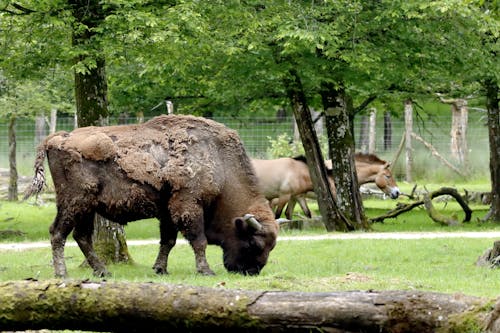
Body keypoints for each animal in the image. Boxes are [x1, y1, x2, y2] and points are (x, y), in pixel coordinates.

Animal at [23, 114, 280, 278]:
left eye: (271, 246)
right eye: (254, 243)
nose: (252, 271)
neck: (220, 163)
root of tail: (57, 138)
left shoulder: (168, 211)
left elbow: (168, 241)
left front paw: (160, 269)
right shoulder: (188, 204)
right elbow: (198, 240)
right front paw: (206, 271)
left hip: (87, 208)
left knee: (82, 236)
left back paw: (103, 271)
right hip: (74, 203)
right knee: (58, 232)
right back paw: (62, 273)